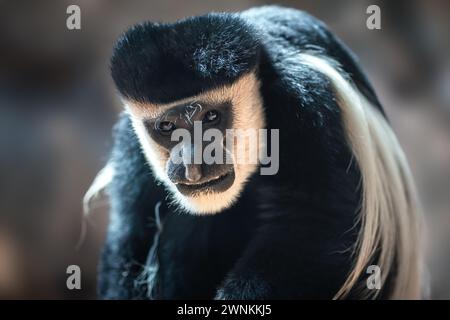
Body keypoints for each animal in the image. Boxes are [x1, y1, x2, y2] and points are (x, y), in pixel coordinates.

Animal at [83, 5, 422, 300]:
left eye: (211, 117)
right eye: (167, 127)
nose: (192, 164)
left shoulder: (309, 103)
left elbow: (314, 223)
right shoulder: (130, 141)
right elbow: (132, 237)